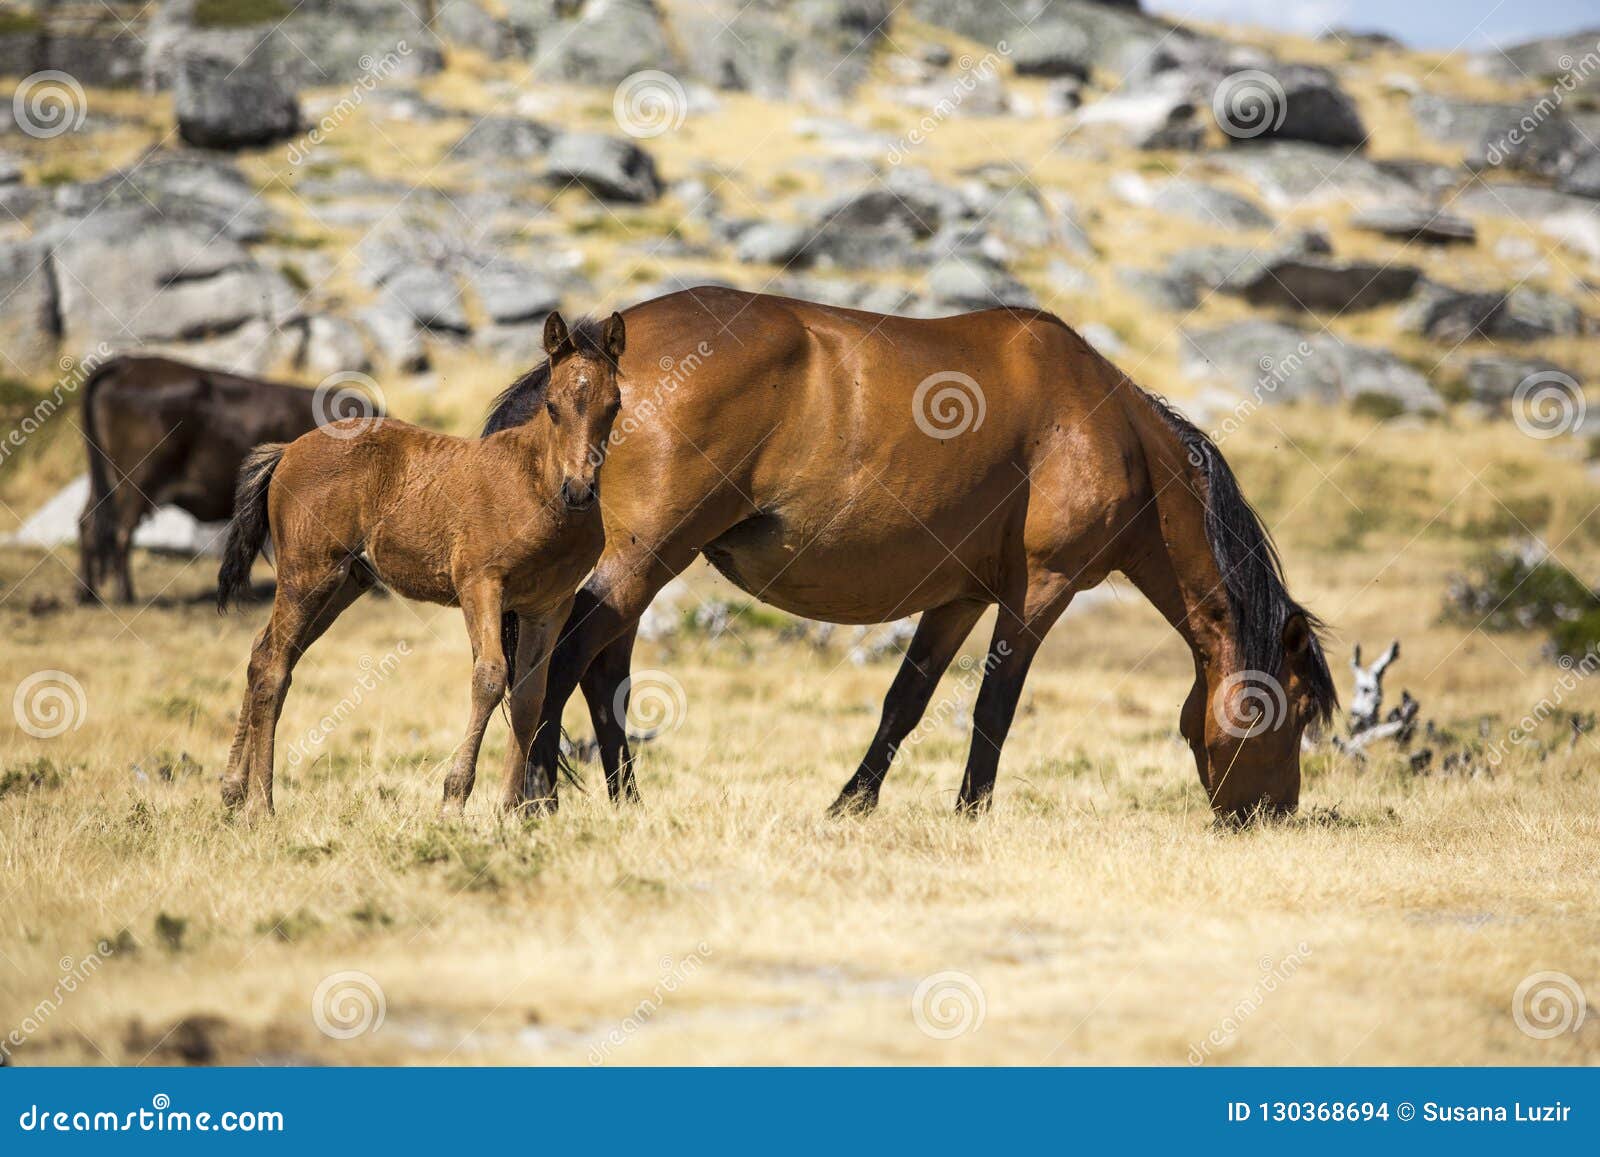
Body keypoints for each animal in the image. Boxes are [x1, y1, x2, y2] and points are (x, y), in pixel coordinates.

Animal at [78, 355, 328, 604]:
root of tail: (124, 363)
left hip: (106, 482)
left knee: (89, 524)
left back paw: (87, 594)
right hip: (137, 481)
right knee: (120, 533)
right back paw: (125, 596)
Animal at [216, 312, 627, 819]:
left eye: (614, 405)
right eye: (551, 407)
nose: (579, 490)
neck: (537, 487)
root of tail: (289, 450)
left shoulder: (548, 605)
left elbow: (530, 696)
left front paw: (510, 808)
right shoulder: (480, 586)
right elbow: (491, 677)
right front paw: (453, 800)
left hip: (342, 584)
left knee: (264, 653)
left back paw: (234, 790)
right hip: (307, 574)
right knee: (273, 666)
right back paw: (261, 805)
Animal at [483, 289, 1337, 825]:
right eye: (1294, 711)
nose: (1273, 815)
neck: (1106, 425)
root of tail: (588, 365)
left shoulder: (959, 596)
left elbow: (907, 700)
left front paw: (852, 803)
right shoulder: (1040, 592)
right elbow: (995, 706)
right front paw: (972, 811)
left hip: (650, 562)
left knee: (604, 670)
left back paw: (623, 800)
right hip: (648, 554)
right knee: (569, 659)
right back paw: (538, 797)